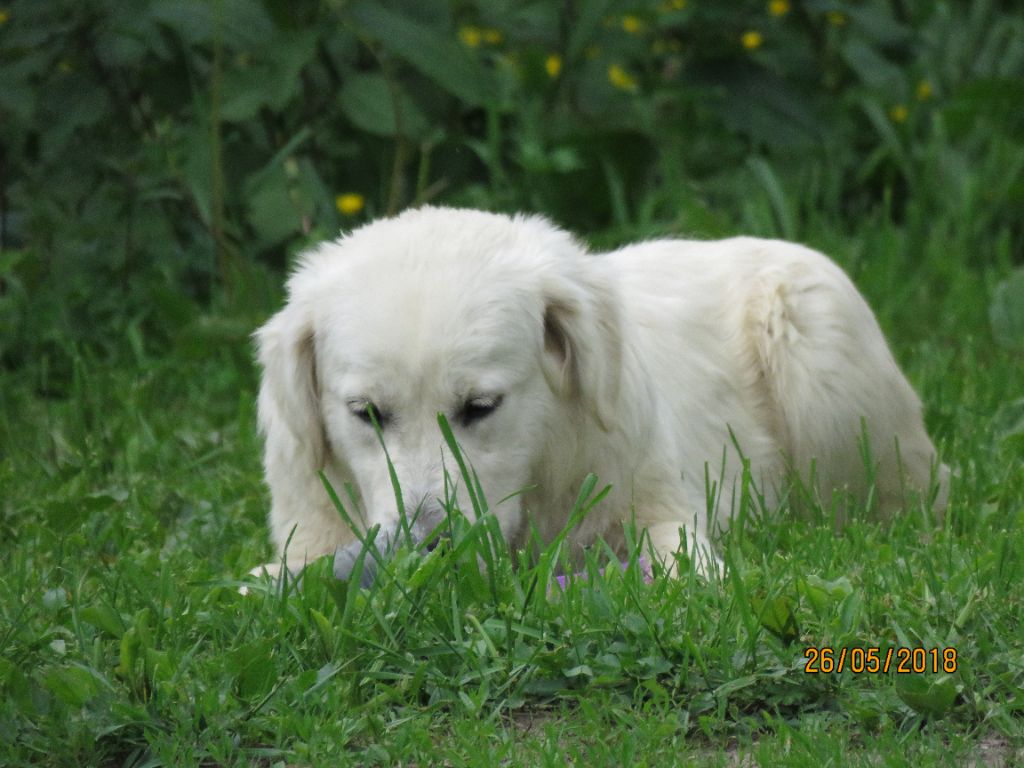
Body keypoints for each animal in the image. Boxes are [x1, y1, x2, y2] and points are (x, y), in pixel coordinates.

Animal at [251, 207, 946, 581]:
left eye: (480, 407)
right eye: (366, 414)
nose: (432, 544)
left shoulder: (655, 501)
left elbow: (679, 557)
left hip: (818, 336)